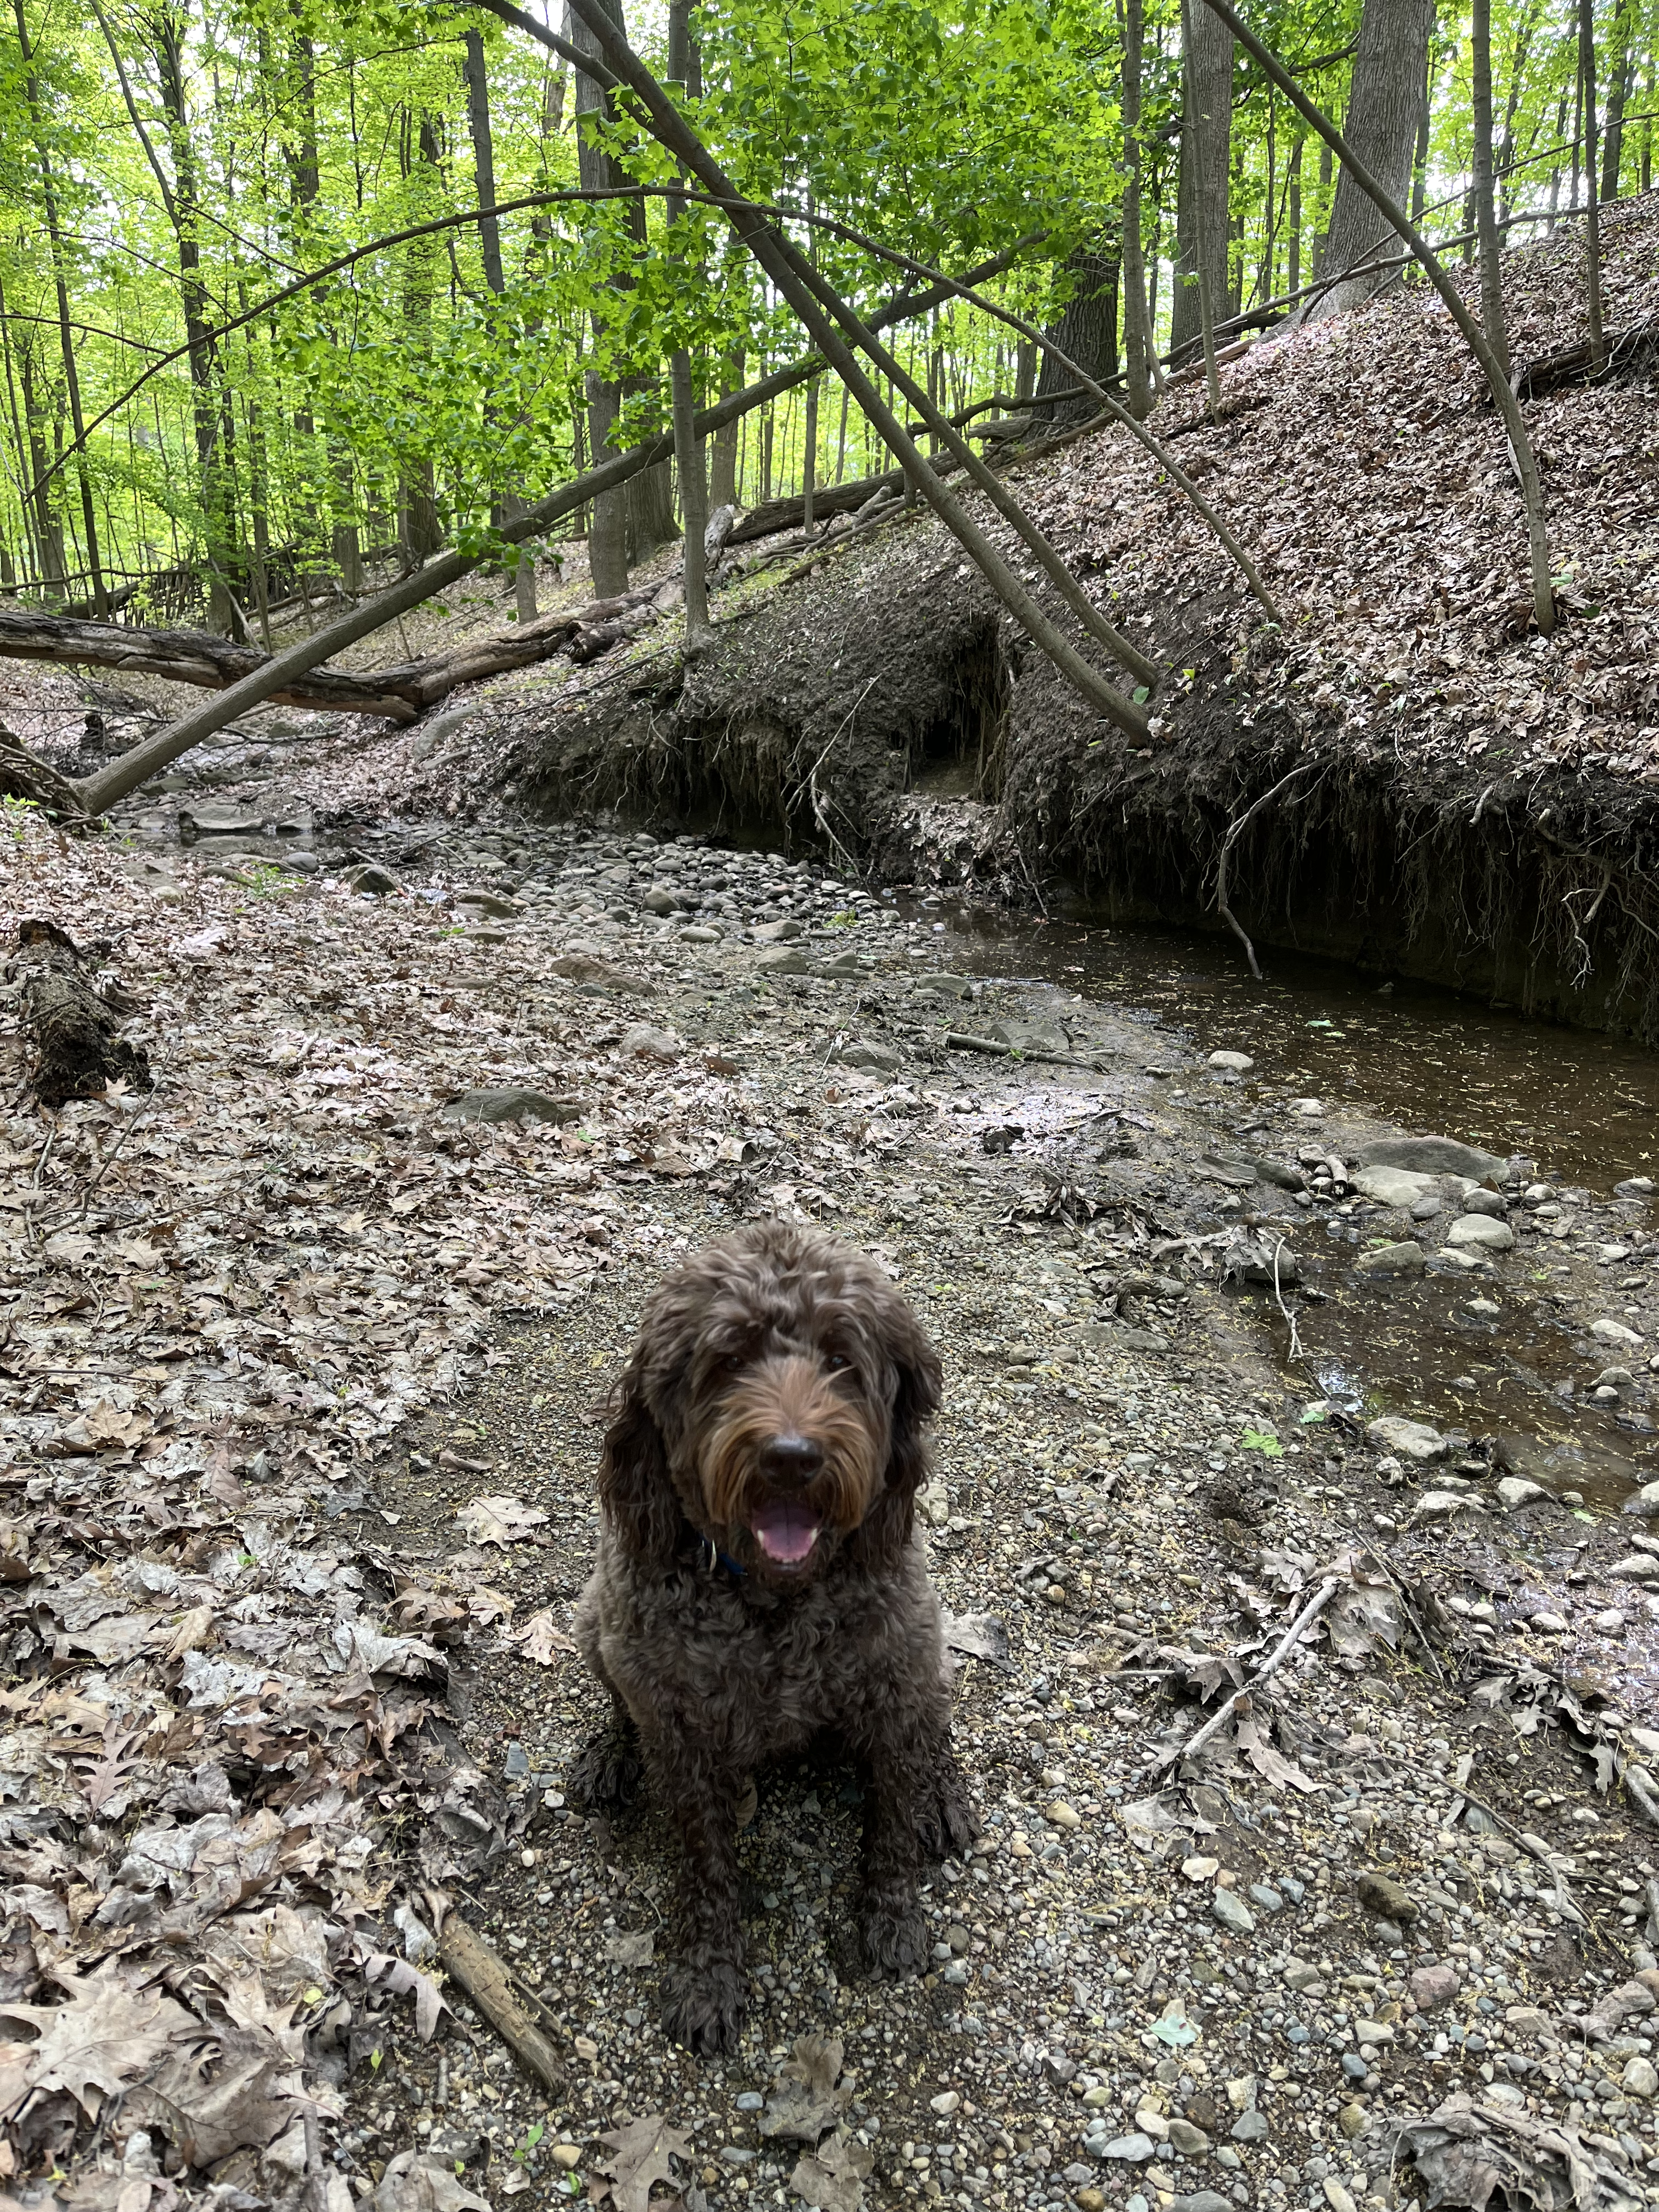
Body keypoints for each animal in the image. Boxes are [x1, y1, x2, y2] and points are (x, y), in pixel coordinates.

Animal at [575, 1221, 982, 2044]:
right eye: (728, 1361)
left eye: (841, 1360)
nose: (791, 1459)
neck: (775, 1602)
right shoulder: (680, 1732)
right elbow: (704, 1865)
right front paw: (709, 1974)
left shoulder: (896, 1675)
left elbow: (892, 1823)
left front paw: (892, 1919)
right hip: (595, 1622)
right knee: (620, 1706)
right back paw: (610, 1754)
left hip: (927, 1654)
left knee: (933, 1728)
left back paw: (944, 1793)